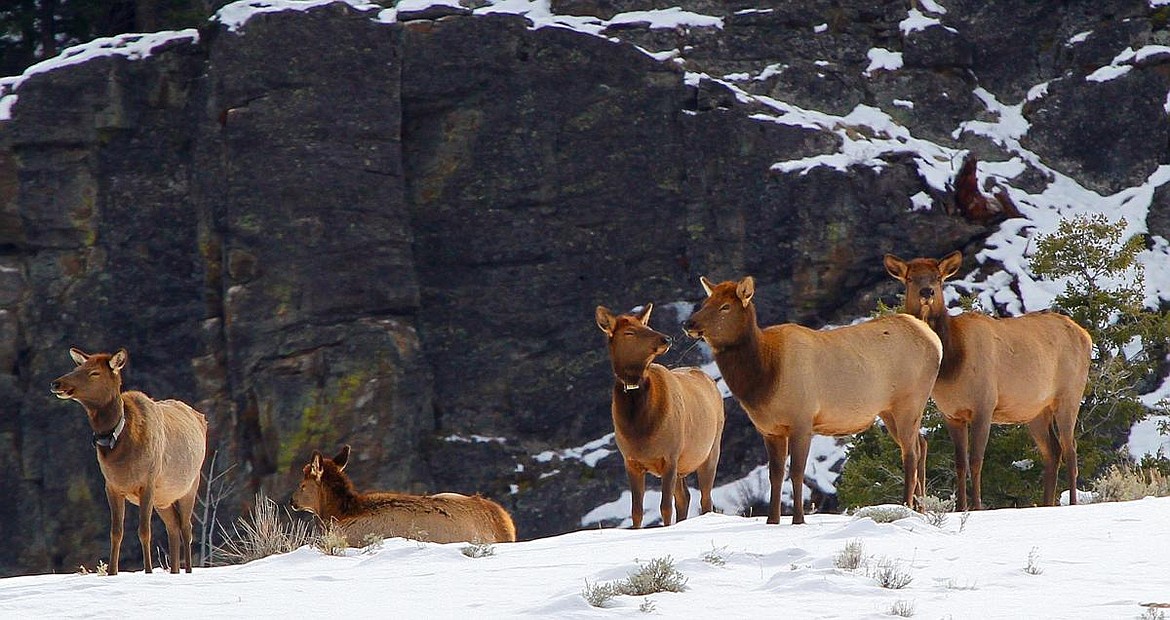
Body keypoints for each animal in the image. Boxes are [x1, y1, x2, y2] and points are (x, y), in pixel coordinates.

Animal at [51, 346, 209, 573]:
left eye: (94, 373)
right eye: (77, 368)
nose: (57, 383)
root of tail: (201, 418)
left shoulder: (148, 482)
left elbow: (144, 531)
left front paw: (148, 570)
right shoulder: (112, 486)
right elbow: (116, 532)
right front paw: (111, 572)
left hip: (189, 486)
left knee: (187, 528)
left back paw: (187, 570)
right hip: (164, 499)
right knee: (173, 527)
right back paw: (174, 570)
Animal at [599, 301, 725, 524]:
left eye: (646, 325)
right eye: (629, 332)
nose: (666, 338)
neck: (639, 429)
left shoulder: (670, 456)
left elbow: (665, 507)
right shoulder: (631, 461)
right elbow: (636, 511)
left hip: (710, 450)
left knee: (705, 499)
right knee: (685, 497)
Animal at [683, 277, 940, 524]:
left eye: (725, 306)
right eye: (706, 302)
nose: (689, 324)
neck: (764, 379)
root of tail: (935, 341)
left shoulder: (802, 420)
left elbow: (796, 472)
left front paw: (798, 519)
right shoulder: (770, 430)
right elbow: (775, 475)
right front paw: (772, 520)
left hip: (909, 400)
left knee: (910, 452)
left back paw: (907, 506)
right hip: (889, 411)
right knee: (922, 443)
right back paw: (921, 507)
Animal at [884, 249, 1095, 507]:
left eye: (938, 278)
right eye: (910, 279)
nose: (927, 292)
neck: (951, 365)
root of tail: (1085, 335)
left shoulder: (984, 405)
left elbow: (976, 460)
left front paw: (976, 506)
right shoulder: (951, 414)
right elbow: (960, 463)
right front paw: (960, 507)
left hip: (1069, 394)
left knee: (1070, 448)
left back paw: (1072, 502)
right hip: (1035, 409)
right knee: (1052, 451)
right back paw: (1047, 503)